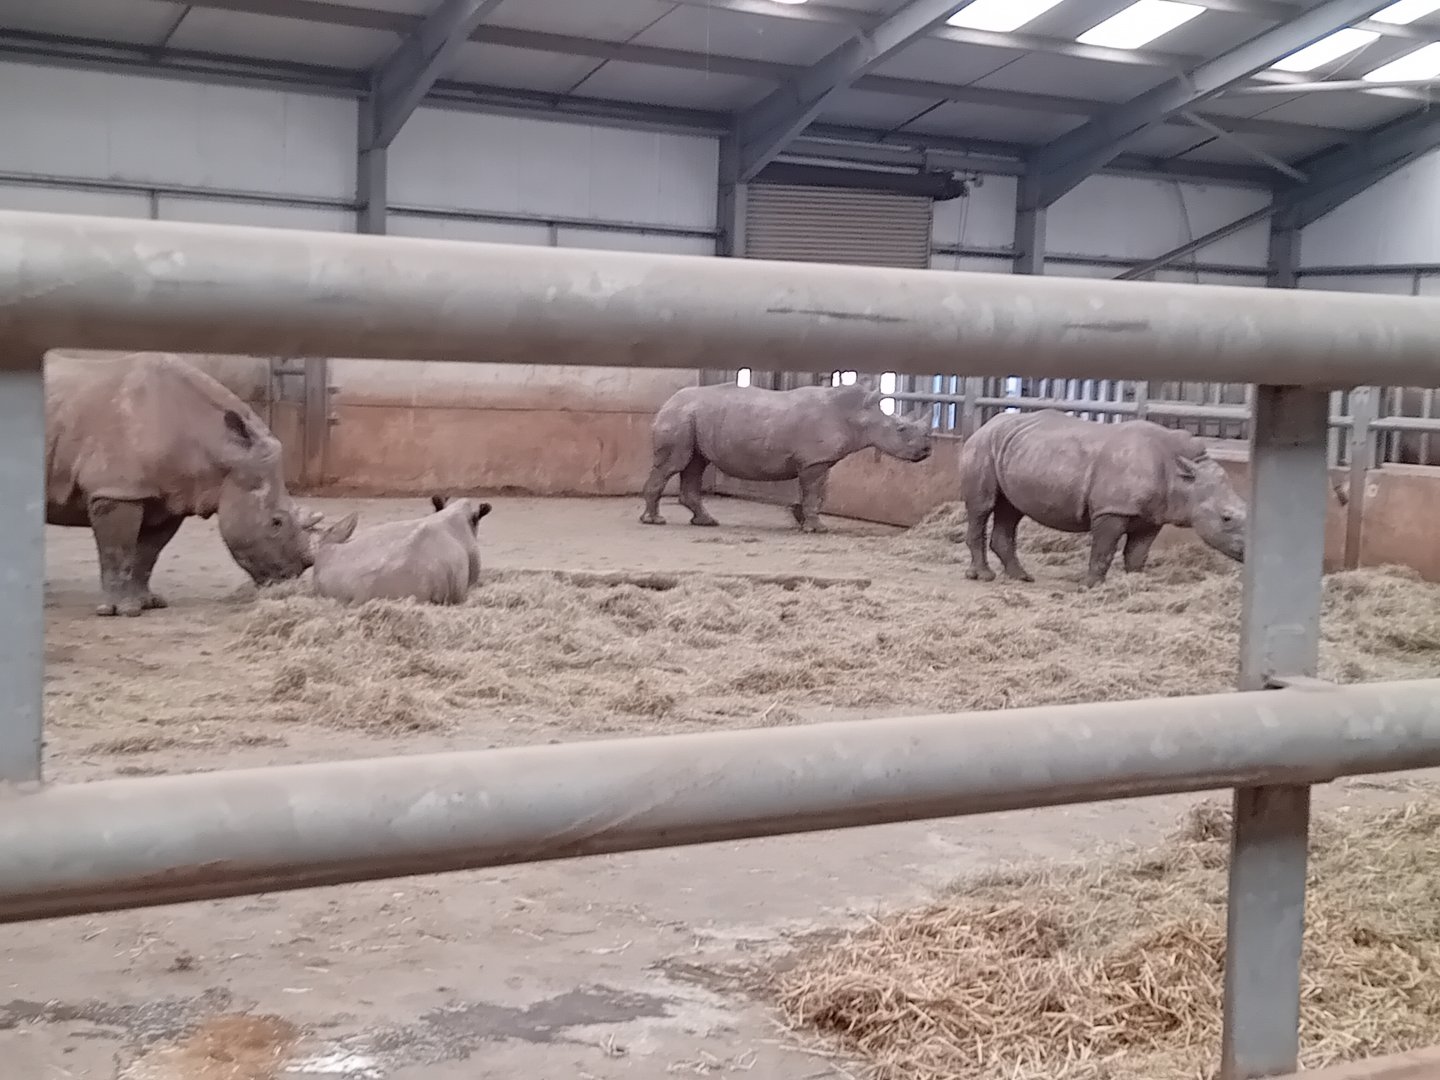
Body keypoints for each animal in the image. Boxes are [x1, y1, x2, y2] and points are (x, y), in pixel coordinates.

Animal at [46, 352, 319, 616]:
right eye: (276, 523)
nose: (290, 576)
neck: (217, 444)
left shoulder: (169, 499)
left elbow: (147, 554)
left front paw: (149, 603)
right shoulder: (117, 490)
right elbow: (117, 552)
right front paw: (120, 611)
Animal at [640, 383, 932, 532]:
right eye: (901, 429)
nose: (927, 451)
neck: (859, 416)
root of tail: (667, 402)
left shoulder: (815, 460)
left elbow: (815, 492)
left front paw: (801, 519)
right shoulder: (815, 461)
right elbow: (815, 493)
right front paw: (817, 528)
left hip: (693, 418)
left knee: (696, 464)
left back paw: (706, 522)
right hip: (679, 417)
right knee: (674, 464)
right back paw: (655, 521)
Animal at [960, 410, 1247, 587]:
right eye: (1226, 518)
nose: (1246, 554)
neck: (1184, 478)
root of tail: (984, 425)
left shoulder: (1152, 516)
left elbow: (1138, 554)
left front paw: (1134, 583)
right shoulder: (1112, 510)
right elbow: (1104, 550)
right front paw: (1090, 587)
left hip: (1016, 450)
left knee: (1011, 509)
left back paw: (1021, 577)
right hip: (982, 447)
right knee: (982, 507)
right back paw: (984, 577)